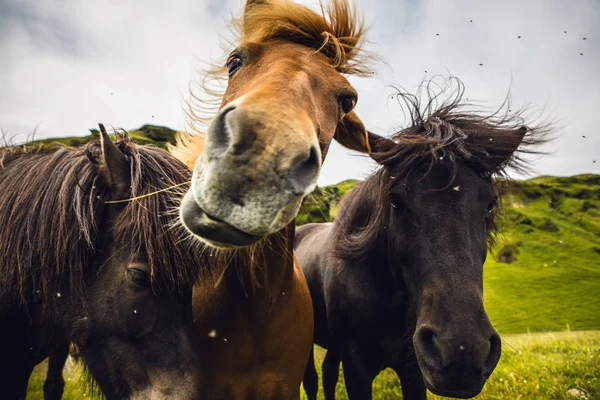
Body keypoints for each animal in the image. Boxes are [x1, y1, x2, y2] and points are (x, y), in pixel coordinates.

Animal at [296, 83, 548, 398]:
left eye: (490, 204)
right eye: (395, 200)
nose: (464, 352)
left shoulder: (413, 369)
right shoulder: (357, 369)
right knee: (313, 378)